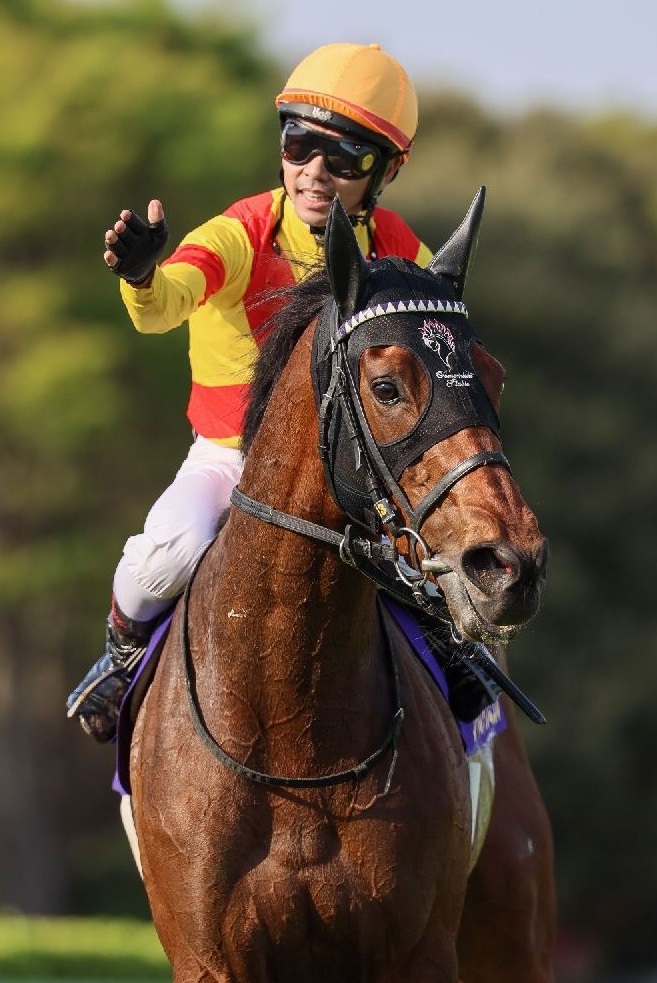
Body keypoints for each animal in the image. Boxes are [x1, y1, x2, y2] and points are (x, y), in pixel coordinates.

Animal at [128, 188, 556, 983]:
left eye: (493, 374)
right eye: (386, 386)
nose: (510, 564)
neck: (292, 735)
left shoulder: (418, 949)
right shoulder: (208, 955)